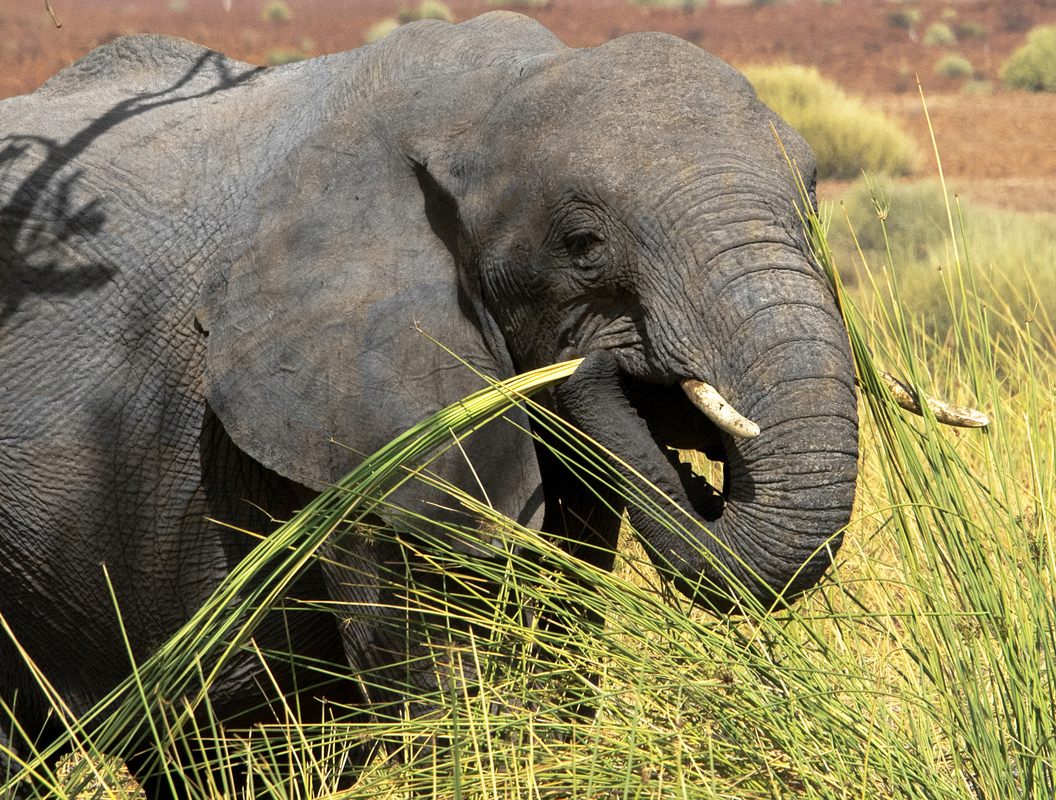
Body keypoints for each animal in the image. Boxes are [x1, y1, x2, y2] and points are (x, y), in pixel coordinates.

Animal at [0, 11, 861, 797]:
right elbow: (453, 694)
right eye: (583, 247)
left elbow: (554, 662)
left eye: (813, 211)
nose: (605, 369)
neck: (490, 101)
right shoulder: (359, 421)